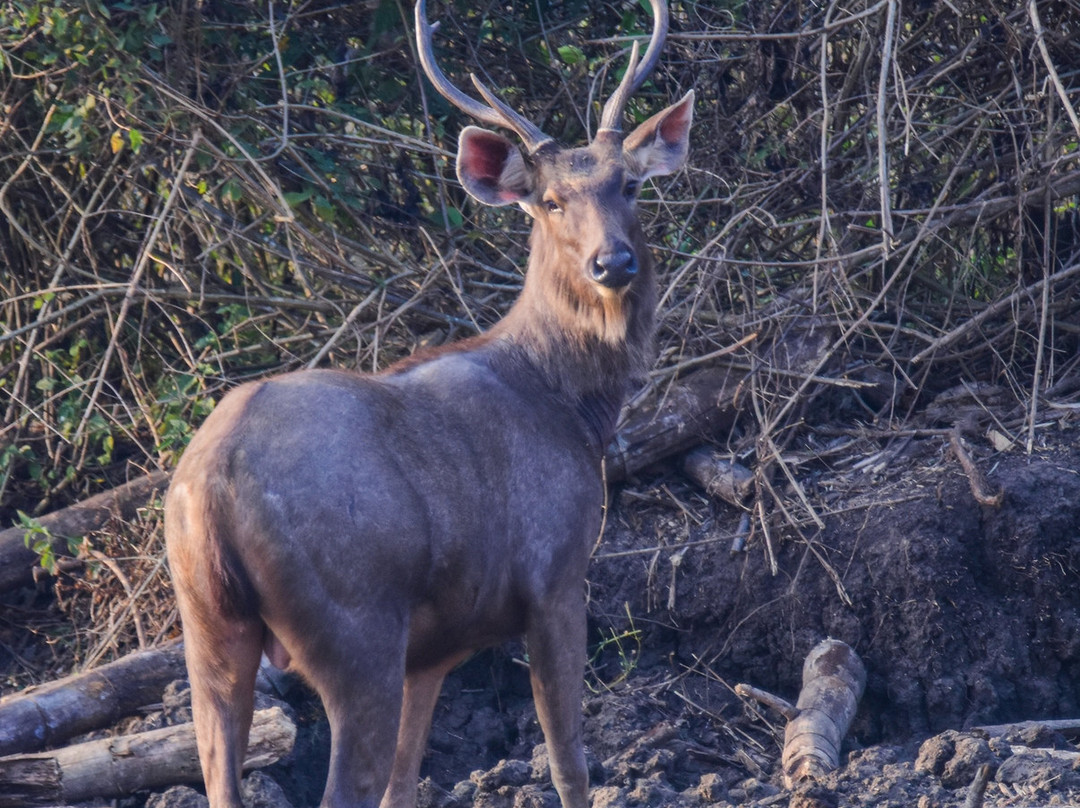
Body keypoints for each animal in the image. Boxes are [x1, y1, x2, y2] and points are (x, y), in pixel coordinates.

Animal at [165, 1, 695, 808]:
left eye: (630, 185)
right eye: (550, 201)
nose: (613, 262)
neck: (574, 410)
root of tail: (213, 489)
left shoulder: (437, 645)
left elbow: (406, 781)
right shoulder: (555, 574)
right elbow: (567, 757)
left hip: (207, 629)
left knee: (223, 772)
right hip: (355, 627)